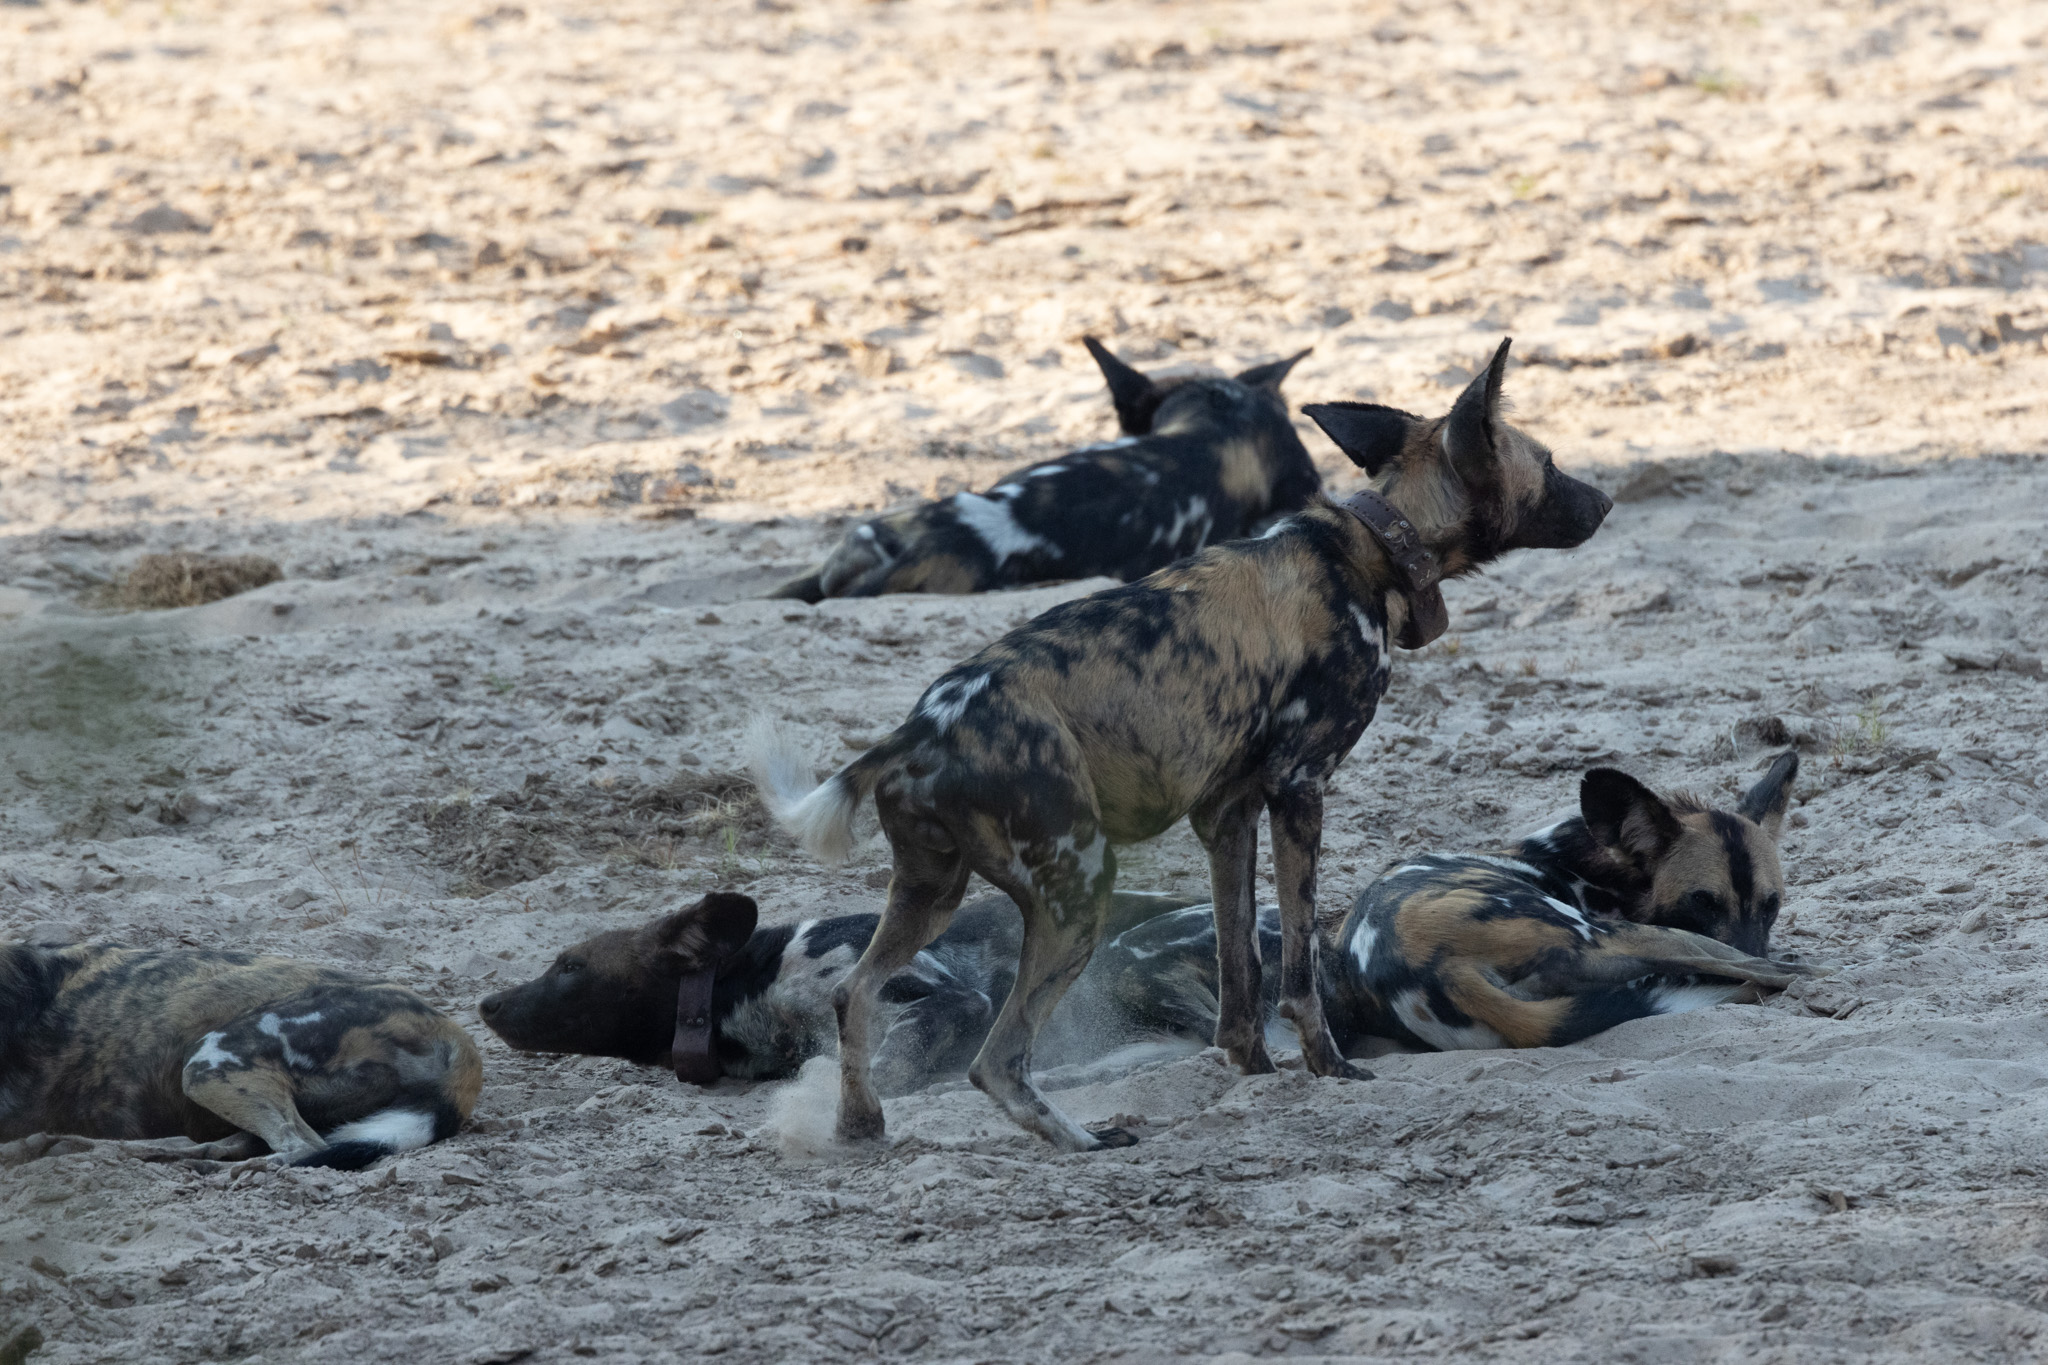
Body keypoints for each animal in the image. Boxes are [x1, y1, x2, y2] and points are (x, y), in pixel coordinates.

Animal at [1097, 753, 1818, 1055]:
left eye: (1772, 904)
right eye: (1701, 900)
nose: (1755, 939)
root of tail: (1432, 964)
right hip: (1607, 939)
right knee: (1754, 974)